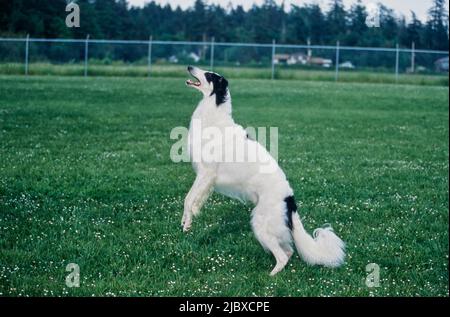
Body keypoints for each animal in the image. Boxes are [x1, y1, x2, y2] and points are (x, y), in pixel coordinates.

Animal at [182, 66, 344, 274]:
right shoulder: (205, 178)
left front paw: (187, 223)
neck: (214, 113)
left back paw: (271, 275)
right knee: (289, 251)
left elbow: (188, 200)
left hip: (260, 223)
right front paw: (186, 223)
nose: (189, 67)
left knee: (283, 256)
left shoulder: (206, 173)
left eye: (209, 75)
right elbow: (191, 200)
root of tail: (290, 200)